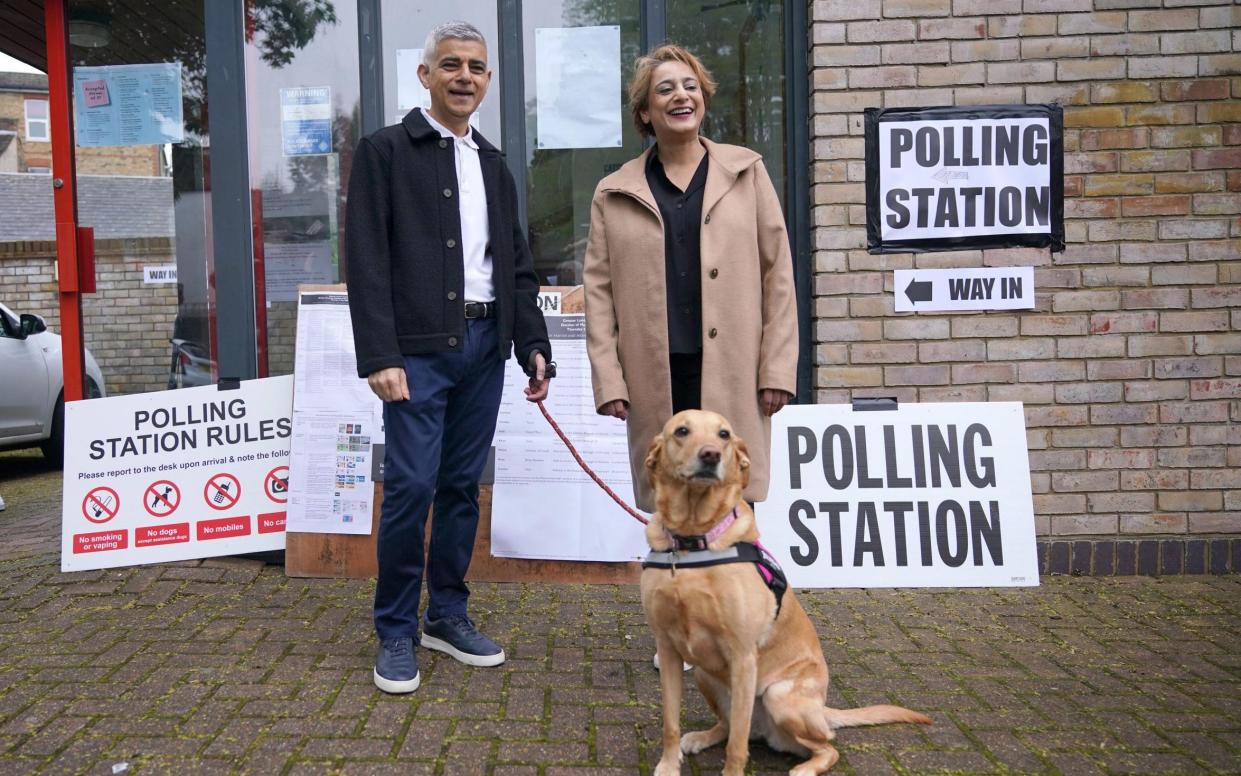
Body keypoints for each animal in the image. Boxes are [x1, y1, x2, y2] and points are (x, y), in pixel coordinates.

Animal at [645, 409, 928, 774]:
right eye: (682, 431)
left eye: (724, 434)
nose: (711, 455)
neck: (693, 540)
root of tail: (822, 710)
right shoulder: (668, 650)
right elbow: (671, 723)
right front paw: (668, 765)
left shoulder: (743, 656)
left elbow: (737, 746)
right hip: (705, 676)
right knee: (729, 726)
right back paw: (700, 737)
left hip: (778, 695)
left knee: (822, 746)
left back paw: (804, 767)